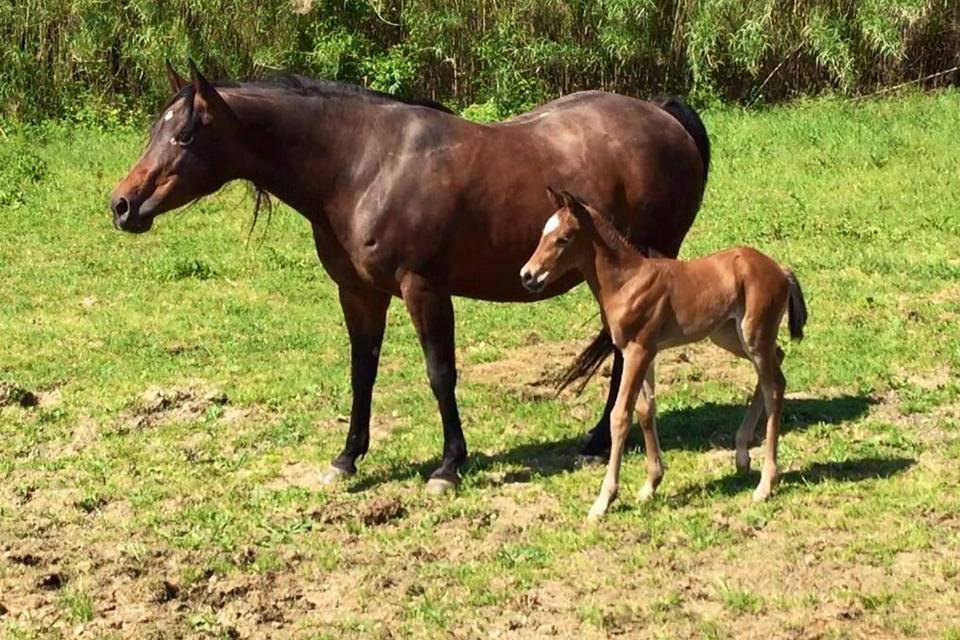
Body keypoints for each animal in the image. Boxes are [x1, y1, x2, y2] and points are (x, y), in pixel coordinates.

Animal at [520, 190, 808, 520]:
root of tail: (781, 270)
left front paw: (603, 501)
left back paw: (765, 484)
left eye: (563, 239)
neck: (627, 281)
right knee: (778, 360)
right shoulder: (645, 351)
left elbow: (620, 415)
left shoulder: (638, 350)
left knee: (775, 387)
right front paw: (650, 485)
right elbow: (646, 411)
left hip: (753, 334)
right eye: (543, 232)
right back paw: (742, 456)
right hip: (729, 336)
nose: (527, 275)